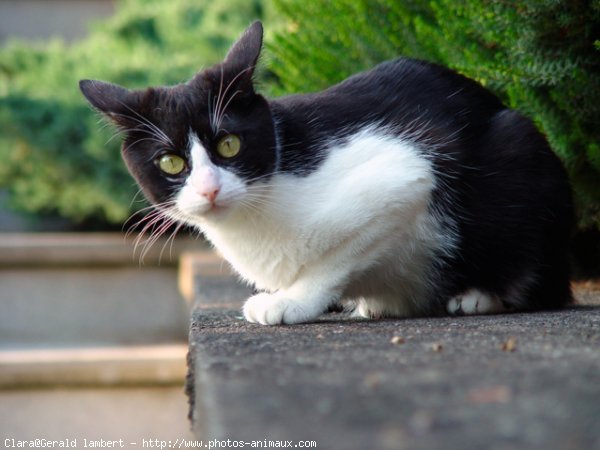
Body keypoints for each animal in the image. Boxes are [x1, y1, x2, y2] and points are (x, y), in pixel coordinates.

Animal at [78, 22, 572, 324]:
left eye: (229, 144)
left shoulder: (405, 173)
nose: (209, 189)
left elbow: (335, 256)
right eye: (171, 162)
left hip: (519, 146)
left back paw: (478, 295)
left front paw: (291, 301)